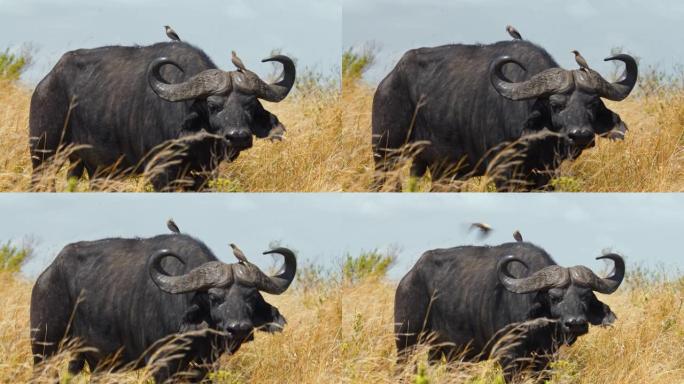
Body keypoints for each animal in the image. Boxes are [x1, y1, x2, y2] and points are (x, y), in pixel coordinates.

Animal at [29, 41, 294, 191]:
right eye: (212, 105)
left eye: (250, 105)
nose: (238, 136)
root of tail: (46, 82)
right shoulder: (160, 172)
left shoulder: (204, 174)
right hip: (44, 153)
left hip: (89, 165)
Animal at [30, 232, 296, 382]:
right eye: (213, 297)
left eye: (251, 297)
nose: (239, 328)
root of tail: (46, 275)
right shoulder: (161, 363)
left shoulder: (206, 366)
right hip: (44, 346)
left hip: (89, 357)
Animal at [372, 40, 640, 190]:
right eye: (555, 105)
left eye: (593, 104)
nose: (581, 135)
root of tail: (388, 81)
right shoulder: (503, 171)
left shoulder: (546, 175)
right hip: (386, 153)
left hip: (439, 168)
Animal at [396, 243, 624, 378]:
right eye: (554, 297)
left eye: (585, 296)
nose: (575, 323)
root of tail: (409, 277)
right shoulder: (507, 357)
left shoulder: (546, 358)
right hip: (406, 339)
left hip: (446, 350)